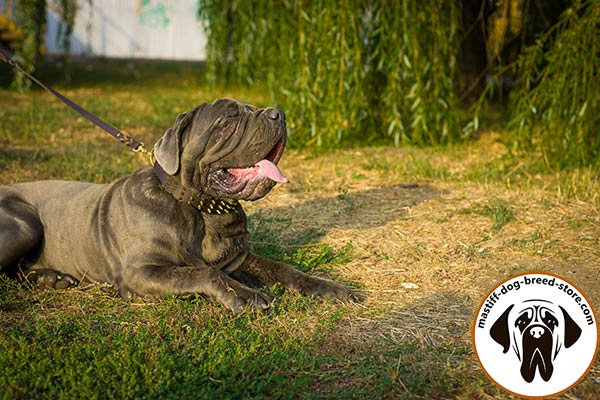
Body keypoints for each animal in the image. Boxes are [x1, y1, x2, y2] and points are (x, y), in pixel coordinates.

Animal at [0, 98, 352, 310]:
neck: (204, 211)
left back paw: (51, 278)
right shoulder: (141, 271)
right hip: (24, 225)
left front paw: (331, 288)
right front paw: (245, 294)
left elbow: (282, 268)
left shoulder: (238, 259)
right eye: (230, 120)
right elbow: (203, 273)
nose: (279, 114)